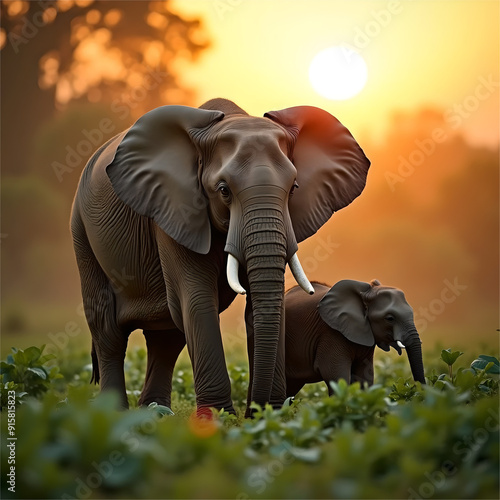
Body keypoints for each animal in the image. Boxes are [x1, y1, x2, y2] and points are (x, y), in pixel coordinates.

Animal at [69, 97, 368, 414]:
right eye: (224, 191)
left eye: (294, 189)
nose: (255, 411)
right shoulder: (175, 209)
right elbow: (198, 299)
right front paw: (218, 415)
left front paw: (270, 414)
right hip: (81, 232)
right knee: (109, 330)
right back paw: (115, 413)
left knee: (166, 336)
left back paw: (156, 412)